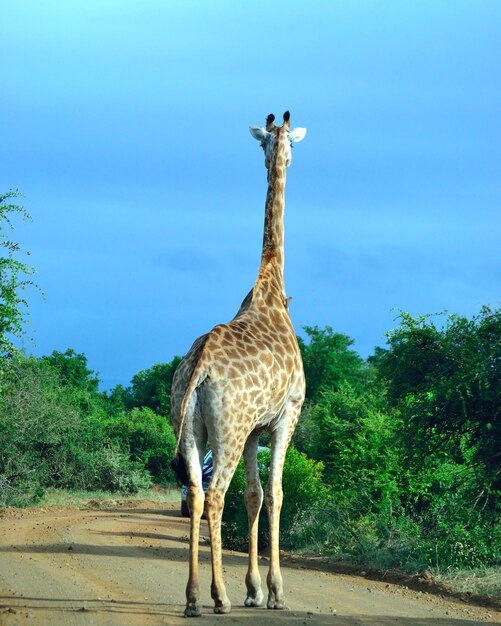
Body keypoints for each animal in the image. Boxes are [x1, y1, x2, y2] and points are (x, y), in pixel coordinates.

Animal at [170, 108, 306, 616]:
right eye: (286, 143)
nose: (280, 152)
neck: (272, 284)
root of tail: (199, 367)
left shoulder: (254, 430)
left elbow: (254, 494)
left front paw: (254, 588)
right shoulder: (286, 416)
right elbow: (277, 494)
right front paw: (274, 591)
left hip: (190, 425)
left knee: (194, 492)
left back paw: (192, 597)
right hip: (225, 429)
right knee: (214, 496)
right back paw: (218, 596)